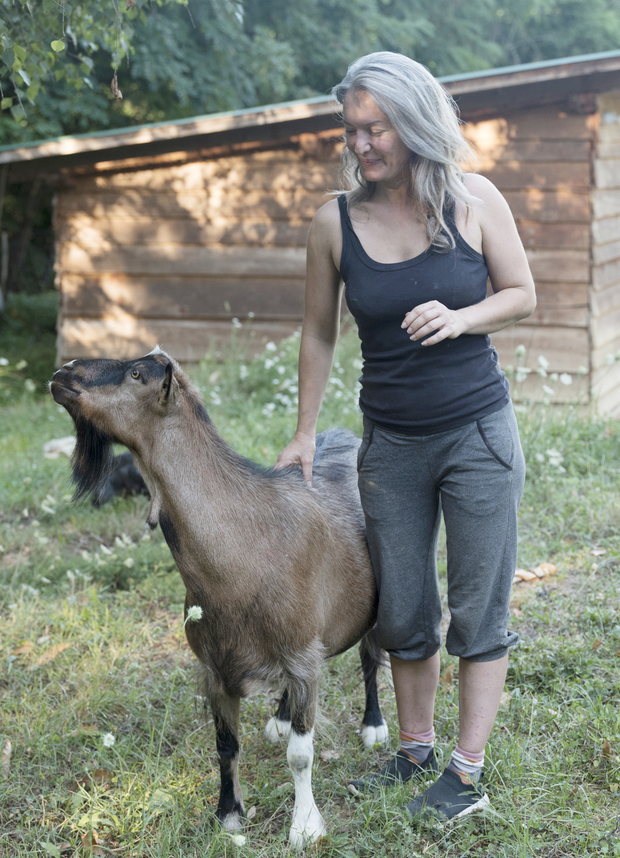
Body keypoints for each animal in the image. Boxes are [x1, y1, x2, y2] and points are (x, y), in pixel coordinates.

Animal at [50, 346, 388, 844]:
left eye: (136, 373)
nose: (63, 373)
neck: (247, 547)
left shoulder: (302, 655)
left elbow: (300, 755)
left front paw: (305, 827)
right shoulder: (215, 667)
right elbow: (226, 744)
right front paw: (228, 816)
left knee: (370, 656)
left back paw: (373, 727)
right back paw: (280, 718)